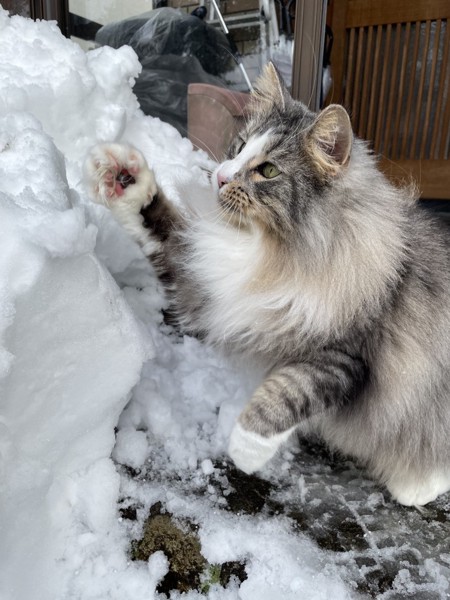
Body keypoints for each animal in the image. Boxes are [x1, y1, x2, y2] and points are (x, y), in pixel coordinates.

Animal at [83, 63, 450, 506]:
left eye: (269, 170)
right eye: (239, 146)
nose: (221, 177)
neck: (268, 253)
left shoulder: (347, 354)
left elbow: (288, 390)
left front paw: (245, 450)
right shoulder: (203, 284)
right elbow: (156, 224)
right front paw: (124, 179)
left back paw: (417, 485)